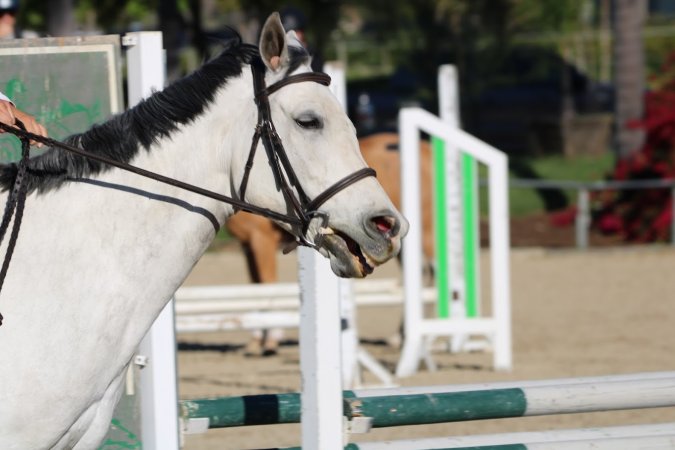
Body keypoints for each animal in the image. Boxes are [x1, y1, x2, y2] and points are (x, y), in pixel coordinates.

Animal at [226, 132, 432, 355]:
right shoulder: (248, 245)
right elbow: (255, 286)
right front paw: (256, 340)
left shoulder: (261, 240)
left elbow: (266, 285)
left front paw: (271, 339)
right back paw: (399, 337)